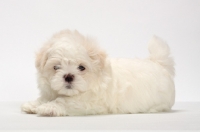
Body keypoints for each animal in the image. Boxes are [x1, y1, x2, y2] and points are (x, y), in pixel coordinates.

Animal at [21, 29, 175, 116]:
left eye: (81, 68)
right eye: (56, 67)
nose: (68, 76)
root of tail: (158, 63)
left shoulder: (89, 102)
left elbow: (64, 102)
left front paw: (48, 107)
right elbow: (46, 97)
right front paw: (34, 105)